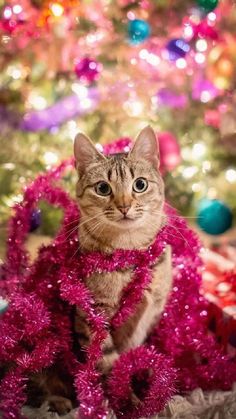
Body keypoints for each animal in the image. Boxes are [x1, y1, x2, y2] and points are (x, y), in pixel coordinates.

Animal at [27, 126, 172, 416]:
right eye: (103, 188)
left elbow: (128, 357)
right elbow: (108, 363)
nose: (124, 206)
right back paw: (58, 402)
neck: (130, 250)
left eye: (140, 184)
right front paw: (128, 402)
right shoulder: (94, 316)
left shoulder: (150, 313)